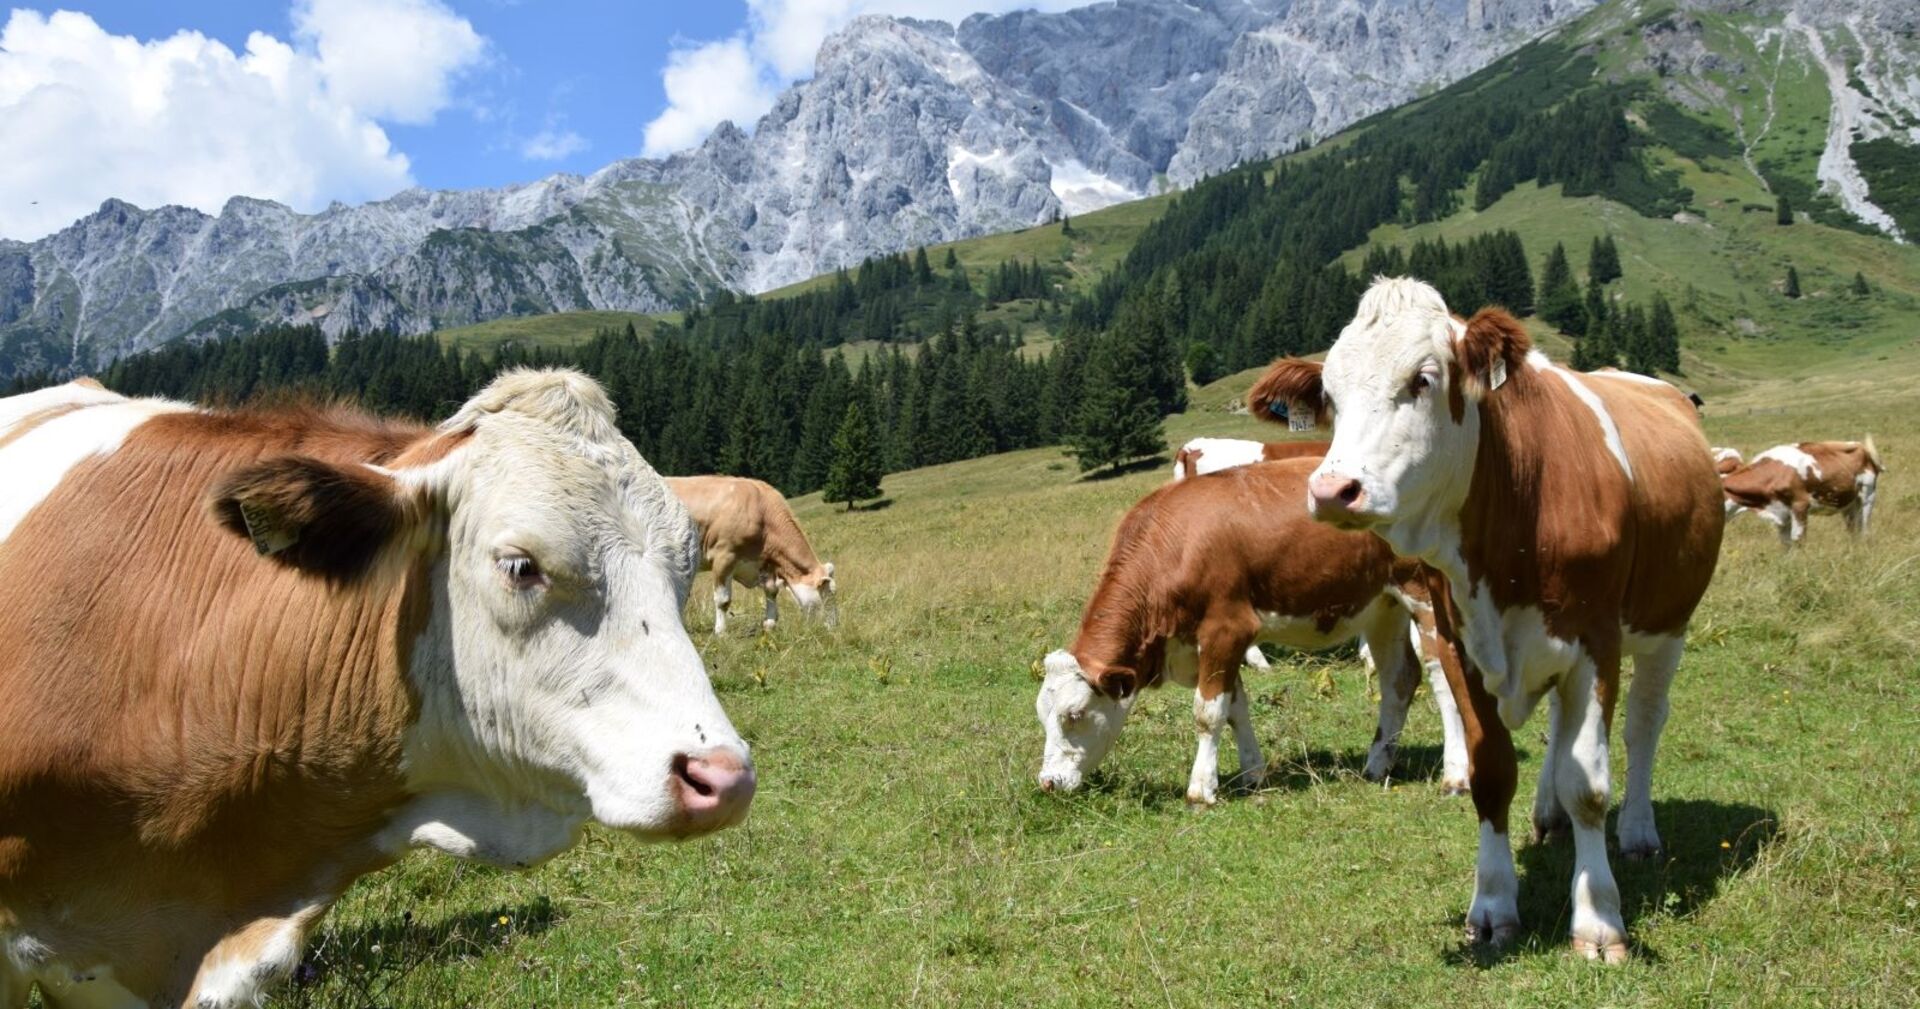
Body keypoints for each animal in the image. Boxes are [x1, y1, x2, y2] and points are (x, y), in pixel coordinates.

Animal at [667, 475, 837, 635]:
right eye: (827, 593)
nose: (835, 626)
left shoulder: (764, 564)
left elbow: (771, 591)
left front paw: (770, 624)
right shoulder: (724, 556)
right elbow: (723, 600)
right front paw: (721, 631)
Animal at [1035, 457, 1468, 805]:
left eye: (1075, 714)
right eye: (1043, 715)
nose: (1048, 782)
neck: (1175, 545)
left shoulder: (1226, 629)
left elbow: (1208, 713)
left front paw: (1201, 790)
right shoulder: (1203, 646)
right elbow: (1235, 709)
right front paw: (1252, 774)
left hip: (1424, 594)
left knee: (1444, 677)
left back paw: (1455, 776)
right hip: (1382, 606)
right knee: (1399, 680)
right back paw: (1377, 765)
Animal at [1249, 277, 1724, 962]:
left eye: (1422, 379)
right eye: (1331, 396)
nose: (1333, 491)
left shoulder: (1596, 643)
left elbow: (1590, 784)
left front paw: (1599, 920)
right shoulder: (1460, 642)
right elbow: (1492, 774)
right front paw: (1494, 907)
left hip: (1668, 626)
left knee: (1642, 727)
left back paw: (1637, 831)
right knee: (1558, 731)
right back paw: (1548, 817)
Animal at [1720, 438, 1884, 544]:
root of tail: (1859, 445)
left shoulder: (1800, 506)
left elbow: (1798, 540)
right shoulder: (1781, 515)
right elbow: (1786, 544)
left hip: (1868, 495)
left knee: (1865, 528)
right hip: (1848, 503)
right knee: (1853, 530)